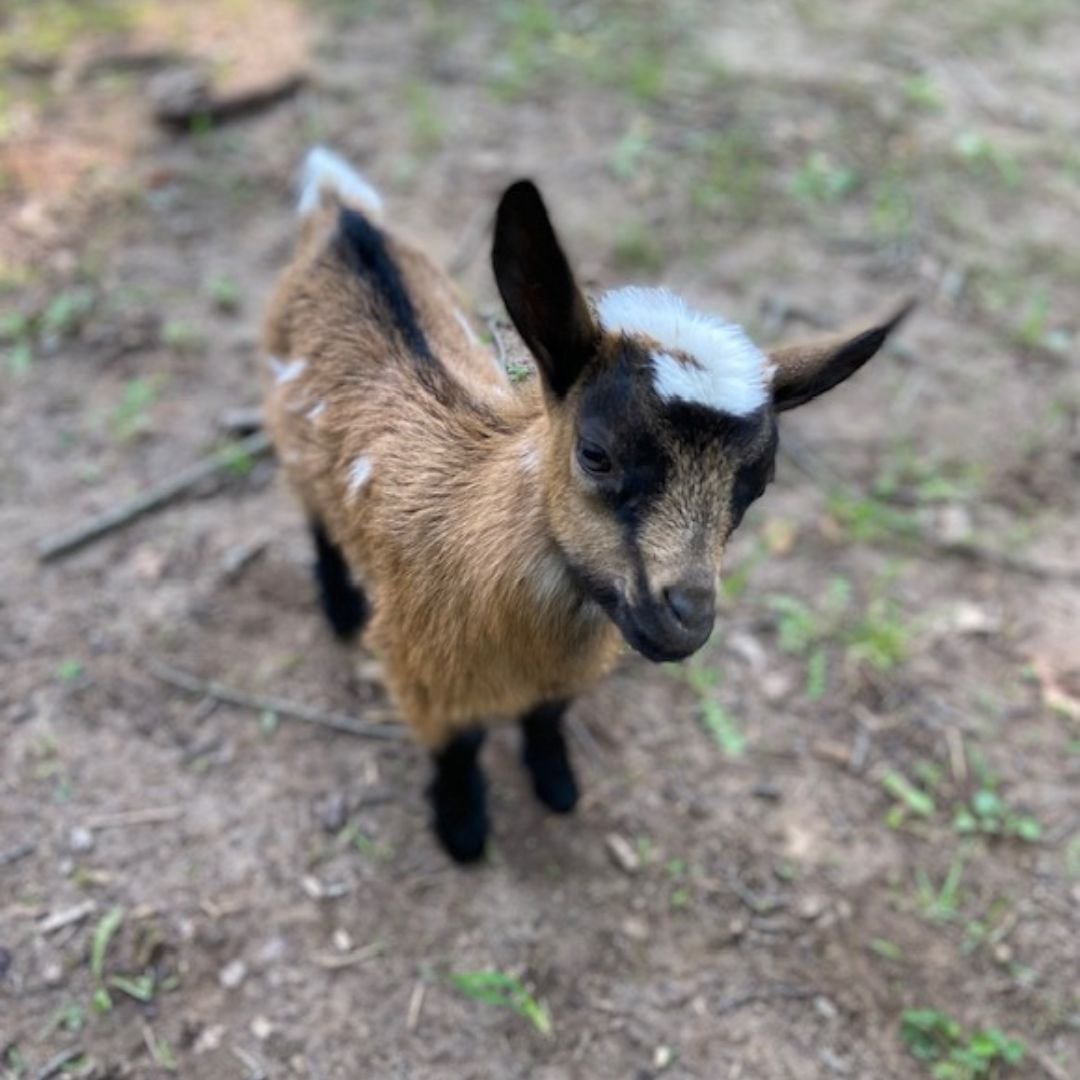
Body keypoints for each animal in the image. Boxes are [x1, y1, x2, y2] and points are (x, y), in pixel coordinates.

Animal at [262, 147, 913, 863]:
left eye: (758, 483)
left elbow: (548, 716)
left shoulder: (564, 670)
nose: (686, 619)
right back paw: (340, 609)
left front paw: (556, 784)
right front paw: (462, 827)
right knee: (316, 519)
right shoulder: (420, 664)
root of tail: (340, 213)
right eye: (596, 453)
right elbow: (459, 745)